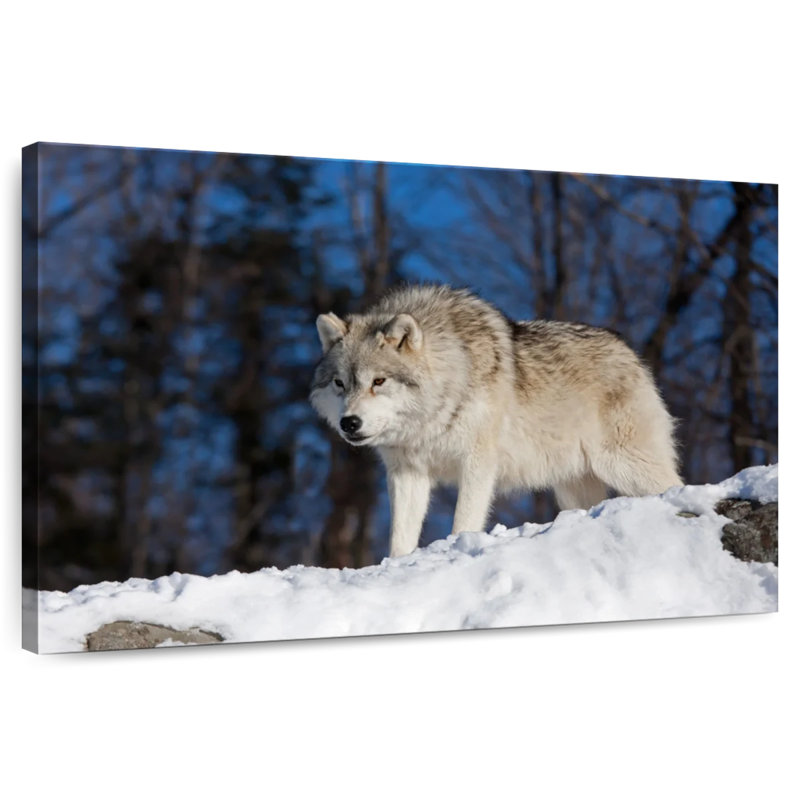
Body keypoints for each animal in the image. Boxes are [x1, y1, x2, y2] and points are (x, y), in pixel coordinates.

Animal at [310, 285, 682, 558]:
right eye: (340, 383)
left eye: (379, 381)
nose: (349, 423)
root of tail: (629, 352)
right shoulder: (407, 472)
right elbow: (401, 536)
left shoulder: (477, 463)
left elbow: (464, 522)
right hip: (573, 486)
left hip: (624, 466)